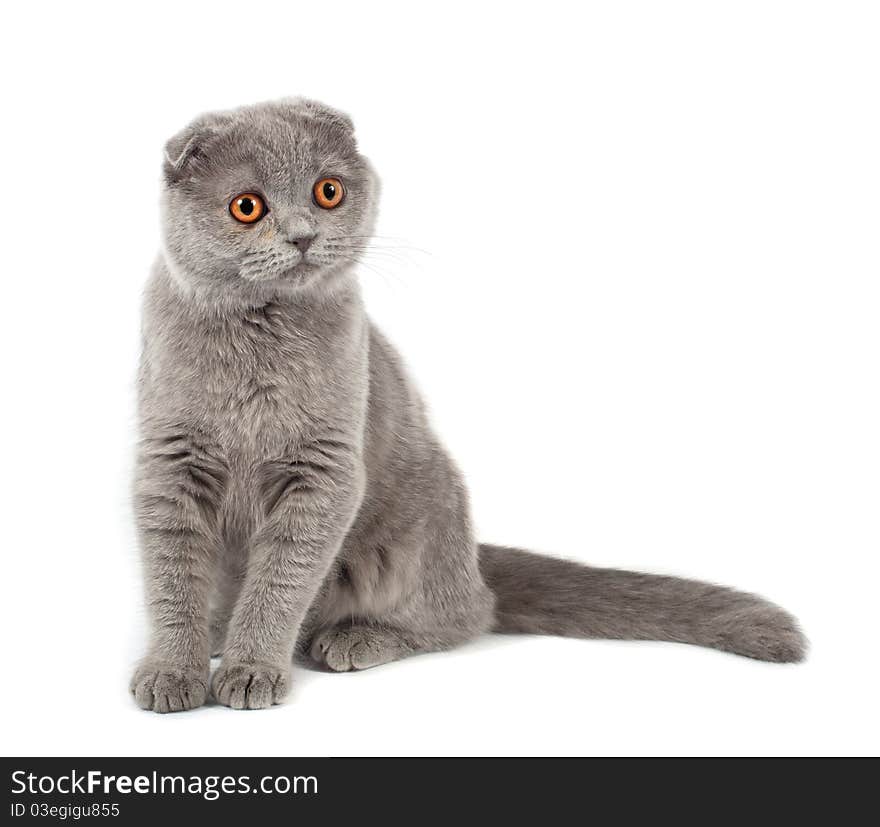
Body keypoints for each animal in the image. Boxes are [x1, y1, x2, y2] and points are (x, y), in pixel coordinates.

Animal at [129, 100, 804, 716]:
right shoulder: (168, 465)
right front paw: (173, 670)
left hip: (422, 521)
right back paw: (222, 629)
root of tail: (476, 559)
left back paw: (354, 639)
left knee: (464, 616)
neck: (257, 344)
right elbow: (172, 579)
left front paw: (251, 671)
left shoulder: (324, 473)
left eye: (328, 192)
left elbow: (281, 581)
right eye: (248, 206)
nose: (303, 235)